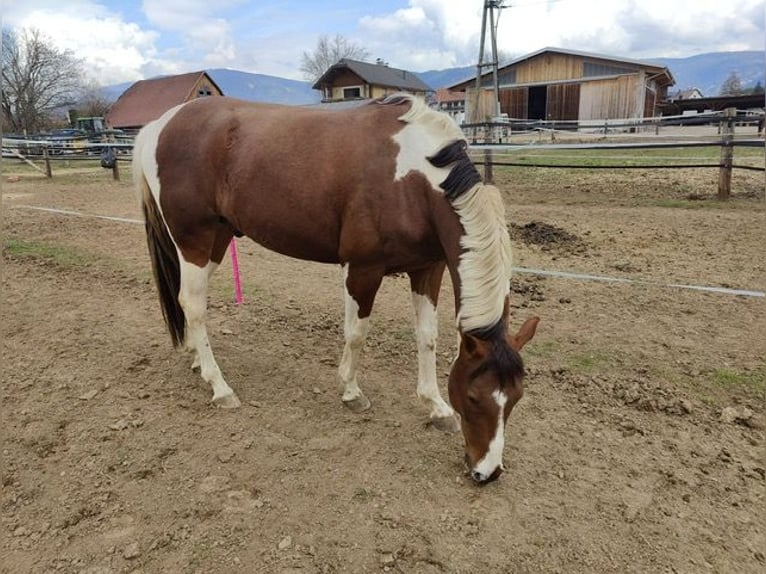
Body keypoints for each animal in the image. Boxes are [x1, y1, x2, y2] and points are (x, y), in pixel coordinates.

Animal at [133, 93, 538, 484]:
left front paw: (436, 407)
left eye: (515, 398)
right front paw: (351, 392)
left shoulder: (427, 269)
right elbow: (356, 334)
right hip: (195, 241)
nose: (488, 472)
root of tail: (159, 125)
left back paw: (197, 360)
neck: (412, 180)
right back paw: (220, 386)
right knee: (193, 305)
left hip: (216, 239)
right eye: (473, 397)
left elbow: (427, 337)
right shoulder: (362, 270)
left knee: (188, 302)